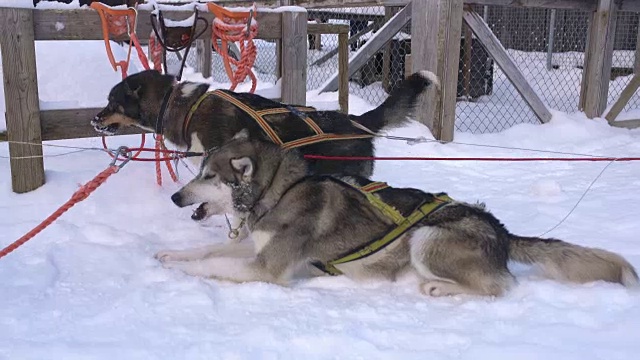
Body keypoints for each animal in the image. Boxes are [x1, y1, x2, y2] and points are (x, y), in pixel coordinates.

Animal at [156, 134, 640, 296]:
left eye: (208, 175)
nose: (176, 198)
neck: (279, 190)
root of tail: (500, 228)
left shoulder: (266, 267)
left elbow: (218, 263)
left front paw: (181, 271)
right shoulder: (255, 247)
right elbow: (207, 252)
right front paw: (170, 255)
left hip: (427, 238)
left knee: (500, 287)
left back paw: (437, 288)